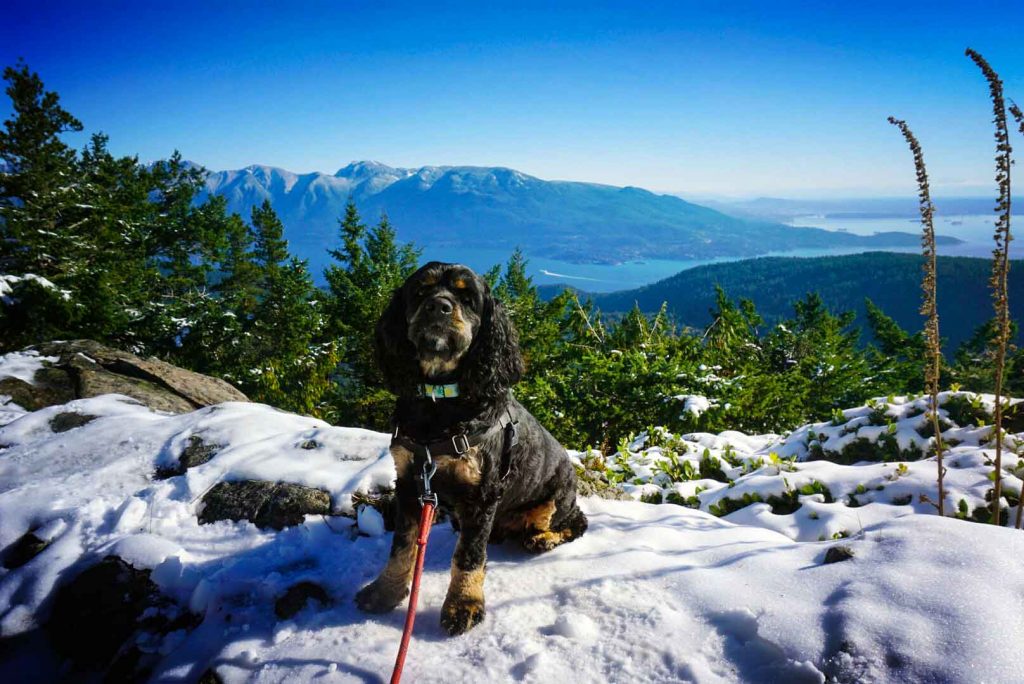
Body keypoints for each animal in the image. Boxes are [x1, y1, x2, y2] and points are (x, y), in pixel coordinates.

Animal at [356, 260, 589, 634]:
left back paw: (544, 538)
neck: (438, 401)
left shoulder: (482, 492)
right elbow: (403, 546)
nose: (438, 306)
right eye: (421, 290)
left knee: (575, 522)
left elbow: (468, 556)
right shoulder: (410, 482)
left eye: (467, 297)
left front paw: (463, 604)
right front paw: (385, 591)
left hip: (554, 499)